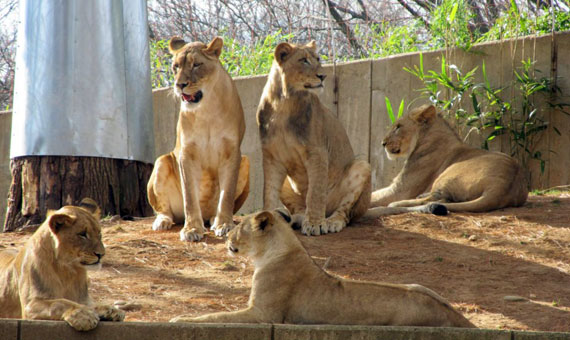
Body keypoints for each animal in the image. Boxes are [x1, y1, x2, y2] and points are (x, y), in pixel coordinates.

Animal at [0, 198, 124, 330]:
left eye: (99, 234)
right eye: (82, 234)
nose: (101, 254)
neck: (67, 270)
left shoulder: (83, 299)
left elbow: (93, 304)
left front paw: (112, 310)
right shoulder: (30, 305)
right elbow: (59, 303)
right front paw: (83, 315)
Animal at [148, 36, 250, 242]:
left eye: (196, 65)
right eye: (175, 67)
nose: (179, 85)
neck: (206, 109)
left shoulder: (232, 153)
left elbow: (226, 194)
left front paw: (224, 224)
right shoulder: (187, 154)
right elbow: (190, 197)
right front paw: (192, 229)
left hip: (246, 162)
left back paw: (214, 219)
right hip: (161, 161)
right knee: (164, 210)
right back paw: (162, 221)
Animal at [171, 210, 472, 326]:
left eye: (238, 228)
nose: (226, 240)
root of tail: (454, 315)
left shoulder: (264, 315)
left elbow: (214, 316)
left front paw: (178, 320)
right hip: (420, 286)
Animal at [255, 40, 370, 236]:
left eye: (318, 59)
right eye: (304, 60)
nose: (323, 76)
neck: (284, 104)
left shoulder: (317, 153)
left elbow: (315, 192)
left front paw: (315, 224)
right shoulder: (271, 157)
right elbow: (269, 192)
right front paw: (267, 219)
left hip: (362, 166)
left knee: (344, 213)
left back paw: (331, 222)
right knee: (300, 208)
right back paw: (293, 219)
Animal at [368, 103, 528, 211]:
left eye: (398, 127)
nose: (383, 143)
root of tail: (502, 187)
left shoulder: (400, 190)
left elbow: (374, 196)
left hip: (448, 173)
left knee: (434, 199)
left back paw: (398, 204)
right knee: (442, 200)